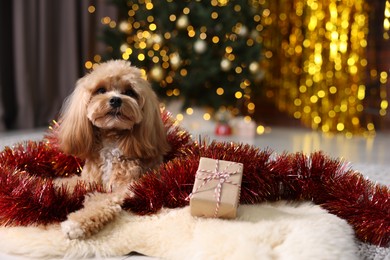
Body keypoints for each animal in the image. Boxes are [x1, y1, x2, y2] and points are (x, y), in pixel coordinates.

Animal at [56, 60, 169, 239]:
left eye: (129, 92)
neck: (111, 143)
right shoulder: (87, 180)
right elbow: (69, 183)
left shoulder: (125, 188)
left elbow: (101, 201)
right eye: (101, 90)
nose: (116, 100)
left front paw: (76, 224)